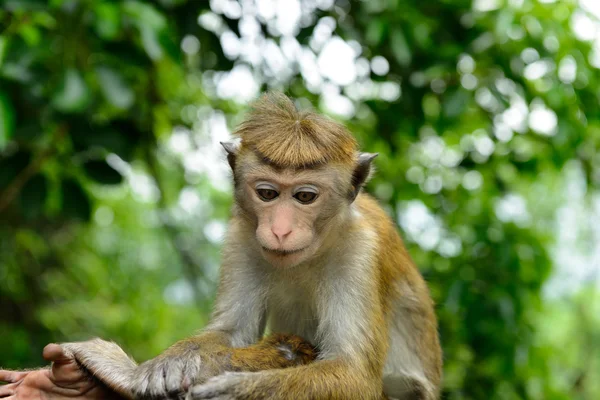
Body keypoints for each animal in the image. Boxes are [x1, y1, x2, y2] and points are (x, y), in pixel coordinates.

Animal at [124, 92, 442, 400]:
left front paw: (237, 391)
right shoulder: (240, 239)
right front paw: (174, 359)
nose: (280, 230)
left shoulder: (361, 252)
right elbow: (231, 332)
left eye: (305, 196)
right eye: (267, 193)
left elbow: (355, 373)